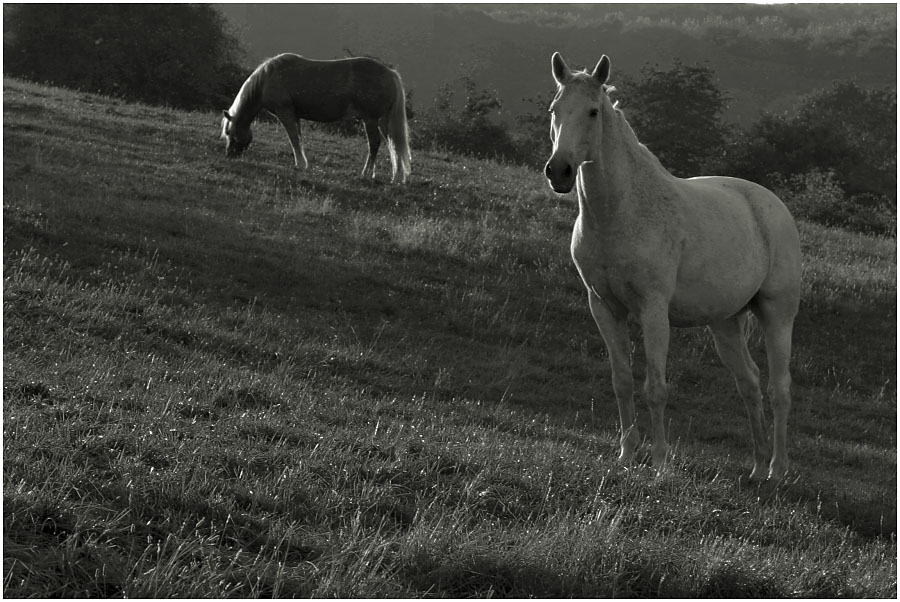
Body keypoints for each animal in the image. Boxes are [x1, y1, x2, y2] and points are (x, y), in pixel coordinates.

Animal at [221, 55, 412, 184]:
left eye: (229, 132)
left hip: (370, 119)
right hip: (383, 121)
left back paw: (366, 173)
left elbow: (293, 139)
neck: (268, 78)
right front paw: (303, 163)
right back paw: (396, 177)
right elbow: (298, 138)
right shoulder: (295, 116)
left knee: (374, 143)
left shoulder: (285, 113)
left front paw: (299, 164)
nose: (230, 154)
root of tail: (390, 73)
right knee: (393, 144)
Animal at [540, 52, 800, 482]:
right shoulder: (604, 307)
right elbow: (622, 382)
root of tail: (772, 206)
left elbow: (655, 388)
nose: (558, 171)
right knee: (749, 382)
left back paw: (777, 469)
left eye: (593, 111)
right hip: (725, 324)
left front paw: (660, 463)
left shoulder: (653, 310)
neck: (621, 213)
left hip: (776, 314)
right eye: (554, 110)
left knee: (780, 389)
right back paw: (757, 466)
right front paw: (626, 455)